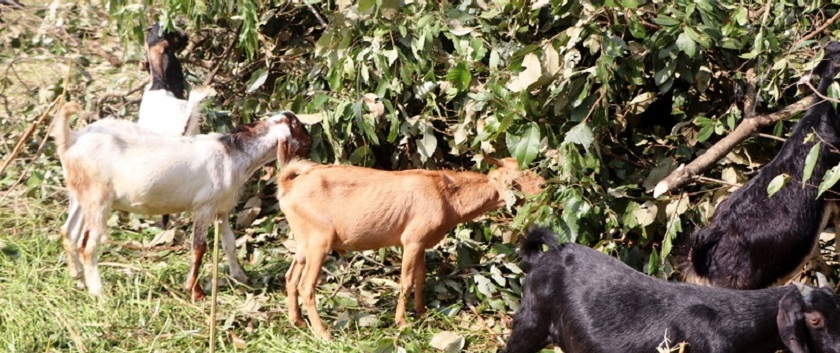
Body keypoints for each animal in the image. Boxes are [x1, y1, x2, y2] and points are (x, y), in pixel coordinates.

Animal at [54, 103, 314, 298]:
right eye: (300, 128)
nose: (311, 146)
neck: (233, 154)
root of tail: (72, 140)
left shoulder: (222, 208)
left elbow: (229, 243)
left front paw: (241, 277)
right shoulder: (204, 207)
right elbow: (199, 248)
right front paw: (195, 291)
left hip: (80, 196)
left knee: (68, 232)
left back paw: (78, 278)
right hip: (98, 199)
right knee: (88, 245)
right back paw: (98, 293)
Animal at [276, 157, 544, 338]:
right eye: (517, 179)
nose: (543, 186)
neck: (446, 198)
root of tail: (288, 187)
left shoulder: (422, 243)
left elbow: (420, 278)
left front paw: (422, 312)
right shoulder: (412, 240)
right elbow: (405, 282)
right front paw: (402, 323)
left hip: (304, 241)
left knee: (290, 277)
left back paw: (297, 322)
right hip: (319, 240)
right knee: (306, 285)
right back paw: (323, 333)